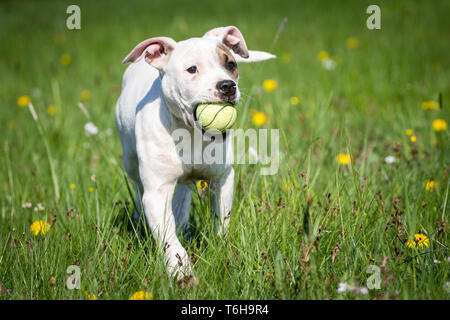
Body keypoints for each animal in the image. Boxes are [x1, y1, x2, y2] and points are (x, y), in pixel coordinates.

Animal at [115, 26, 274, 278]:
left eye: (230, 64)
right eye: (192, 69)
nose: (227, 86)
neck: (189, 133)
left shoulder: (222, 179)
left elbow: (222, 219)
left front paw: (221, 250)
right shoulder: (157, 192)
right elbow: (168, 237)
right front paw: (181, 271)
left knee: (183, 194)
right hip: (131, 161)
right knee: (139, 189)